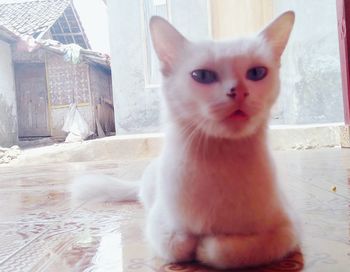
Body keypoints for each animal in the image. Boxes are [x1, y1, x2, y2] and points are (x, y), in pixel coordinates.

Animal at [72, 11, 300, 270]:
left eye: (256, 73)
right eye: (202, 76)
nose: (239, 92)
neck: (220, 161)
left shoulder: (287, 230)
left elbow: (232, 250)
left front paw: (206, 246)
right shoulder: (159, 222)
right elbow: (176, 243)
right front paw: (192, 241)